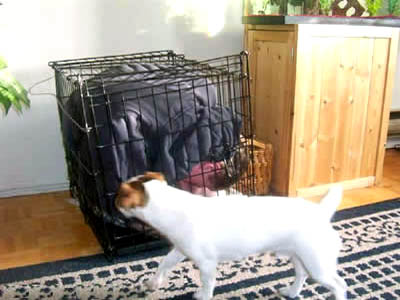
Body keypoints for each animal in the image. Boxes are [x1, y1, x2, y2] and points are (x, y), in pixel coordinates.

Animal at [114, 172, 346, 298]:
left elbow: (207, 284)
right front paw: (153, 283)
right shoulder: (179, 250)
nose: (113, 205)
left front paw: (202, 296)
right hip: (300, 258)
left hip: (318, 264)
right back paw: (291, 292)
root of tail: (320, 212)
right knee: (302, 275)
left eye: (117, 196)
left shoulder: (207, 264)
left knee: (339, 285)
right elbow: (163, 264)